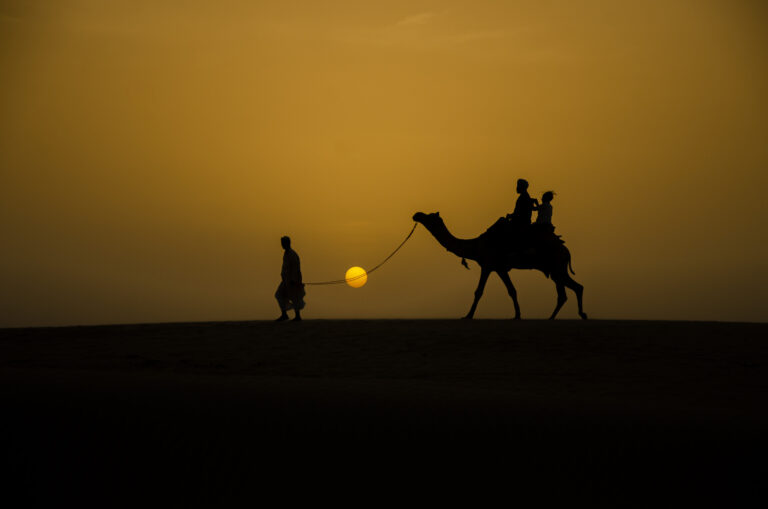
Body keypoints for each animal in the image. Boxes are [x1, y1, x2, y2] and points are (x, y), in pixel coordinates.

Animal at [414, 210, 588, 318]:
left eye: (430, 217)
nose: (417, 215)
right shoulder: (500, 268)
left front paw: (468, 316)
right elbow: (512, 290)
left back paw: (561, 316)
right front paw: (517, 315)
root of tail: (566, 250)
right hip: (556, 269)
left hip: (557, 266)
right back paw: (569, 315)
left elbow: (479, 291)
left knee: (569, 290)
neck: (476, 245)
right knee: (572, 289)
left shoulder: (487, 265)